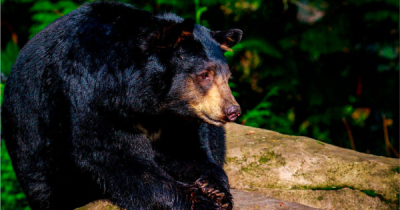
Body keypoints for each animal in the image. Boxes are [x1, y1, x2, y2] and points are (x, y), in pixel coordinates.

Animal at [2, 1, 241, 210]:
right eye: (204, 75)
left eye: (227, 76)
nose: (233, 111)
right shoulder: (91, 96)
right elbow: (117, 158)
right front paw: (200, 201)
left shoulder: (176, 117)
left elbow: (185, 149)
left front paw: (214, 188)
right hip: (32, 144)